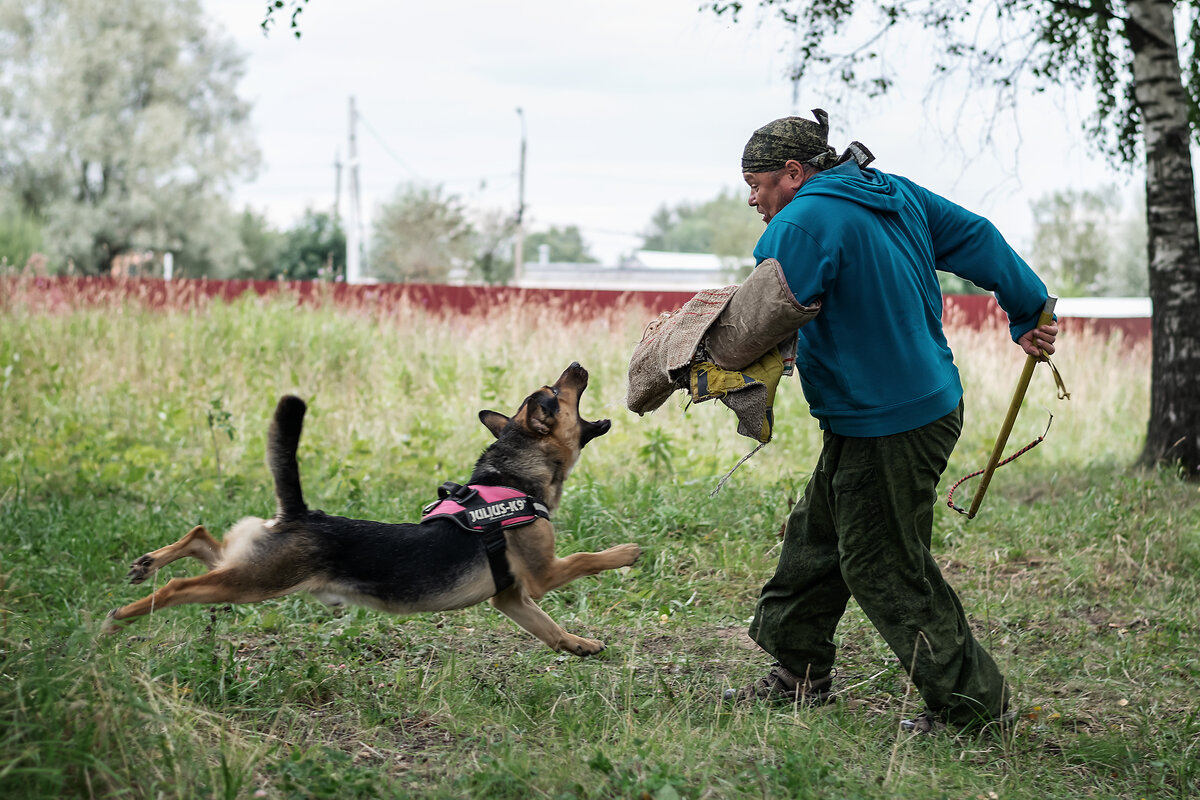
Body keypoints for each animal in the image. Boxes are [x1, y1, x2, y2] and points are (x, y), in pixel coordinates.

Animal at [108, 362, 643, 657]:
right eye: (555, 395)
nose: (576, 363)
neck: (510, 477)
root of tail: (298, 515)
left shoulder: (511, 597)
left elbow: (549, 629)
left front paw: (579, 645)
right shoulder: (541, 575)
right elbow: (584, 560)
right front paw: (625, 553)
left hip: (249, 562)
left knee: (202, 536)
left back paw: (147, 564)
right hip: (255, 581)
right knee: (180, 587)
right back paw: (123, 615)